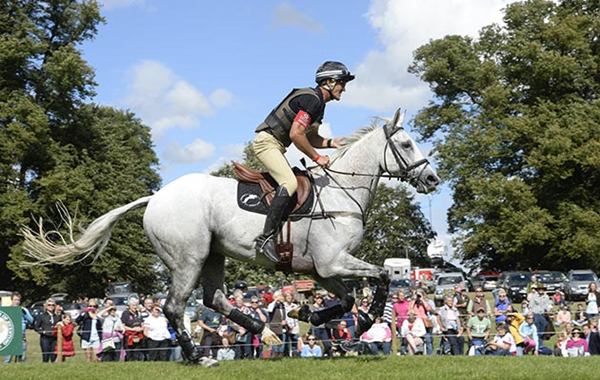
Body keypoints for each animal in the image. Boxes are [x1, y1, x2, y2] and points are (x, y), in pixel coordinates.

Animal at [23, 108, 438, 364]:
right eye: (405, 145)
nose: (432, 179)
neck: (340, 191)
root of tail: (155, 197)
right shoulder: (334, 262)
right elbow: (381, 278)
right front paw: (361, 327)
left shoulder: (321, 270)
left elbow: (348, 300)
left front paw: (307, 313)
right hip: (188, 257)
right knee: (176, 307)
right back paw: (198, 356)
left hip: (213, 254)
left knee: (215, 298)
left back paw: (263, 332)